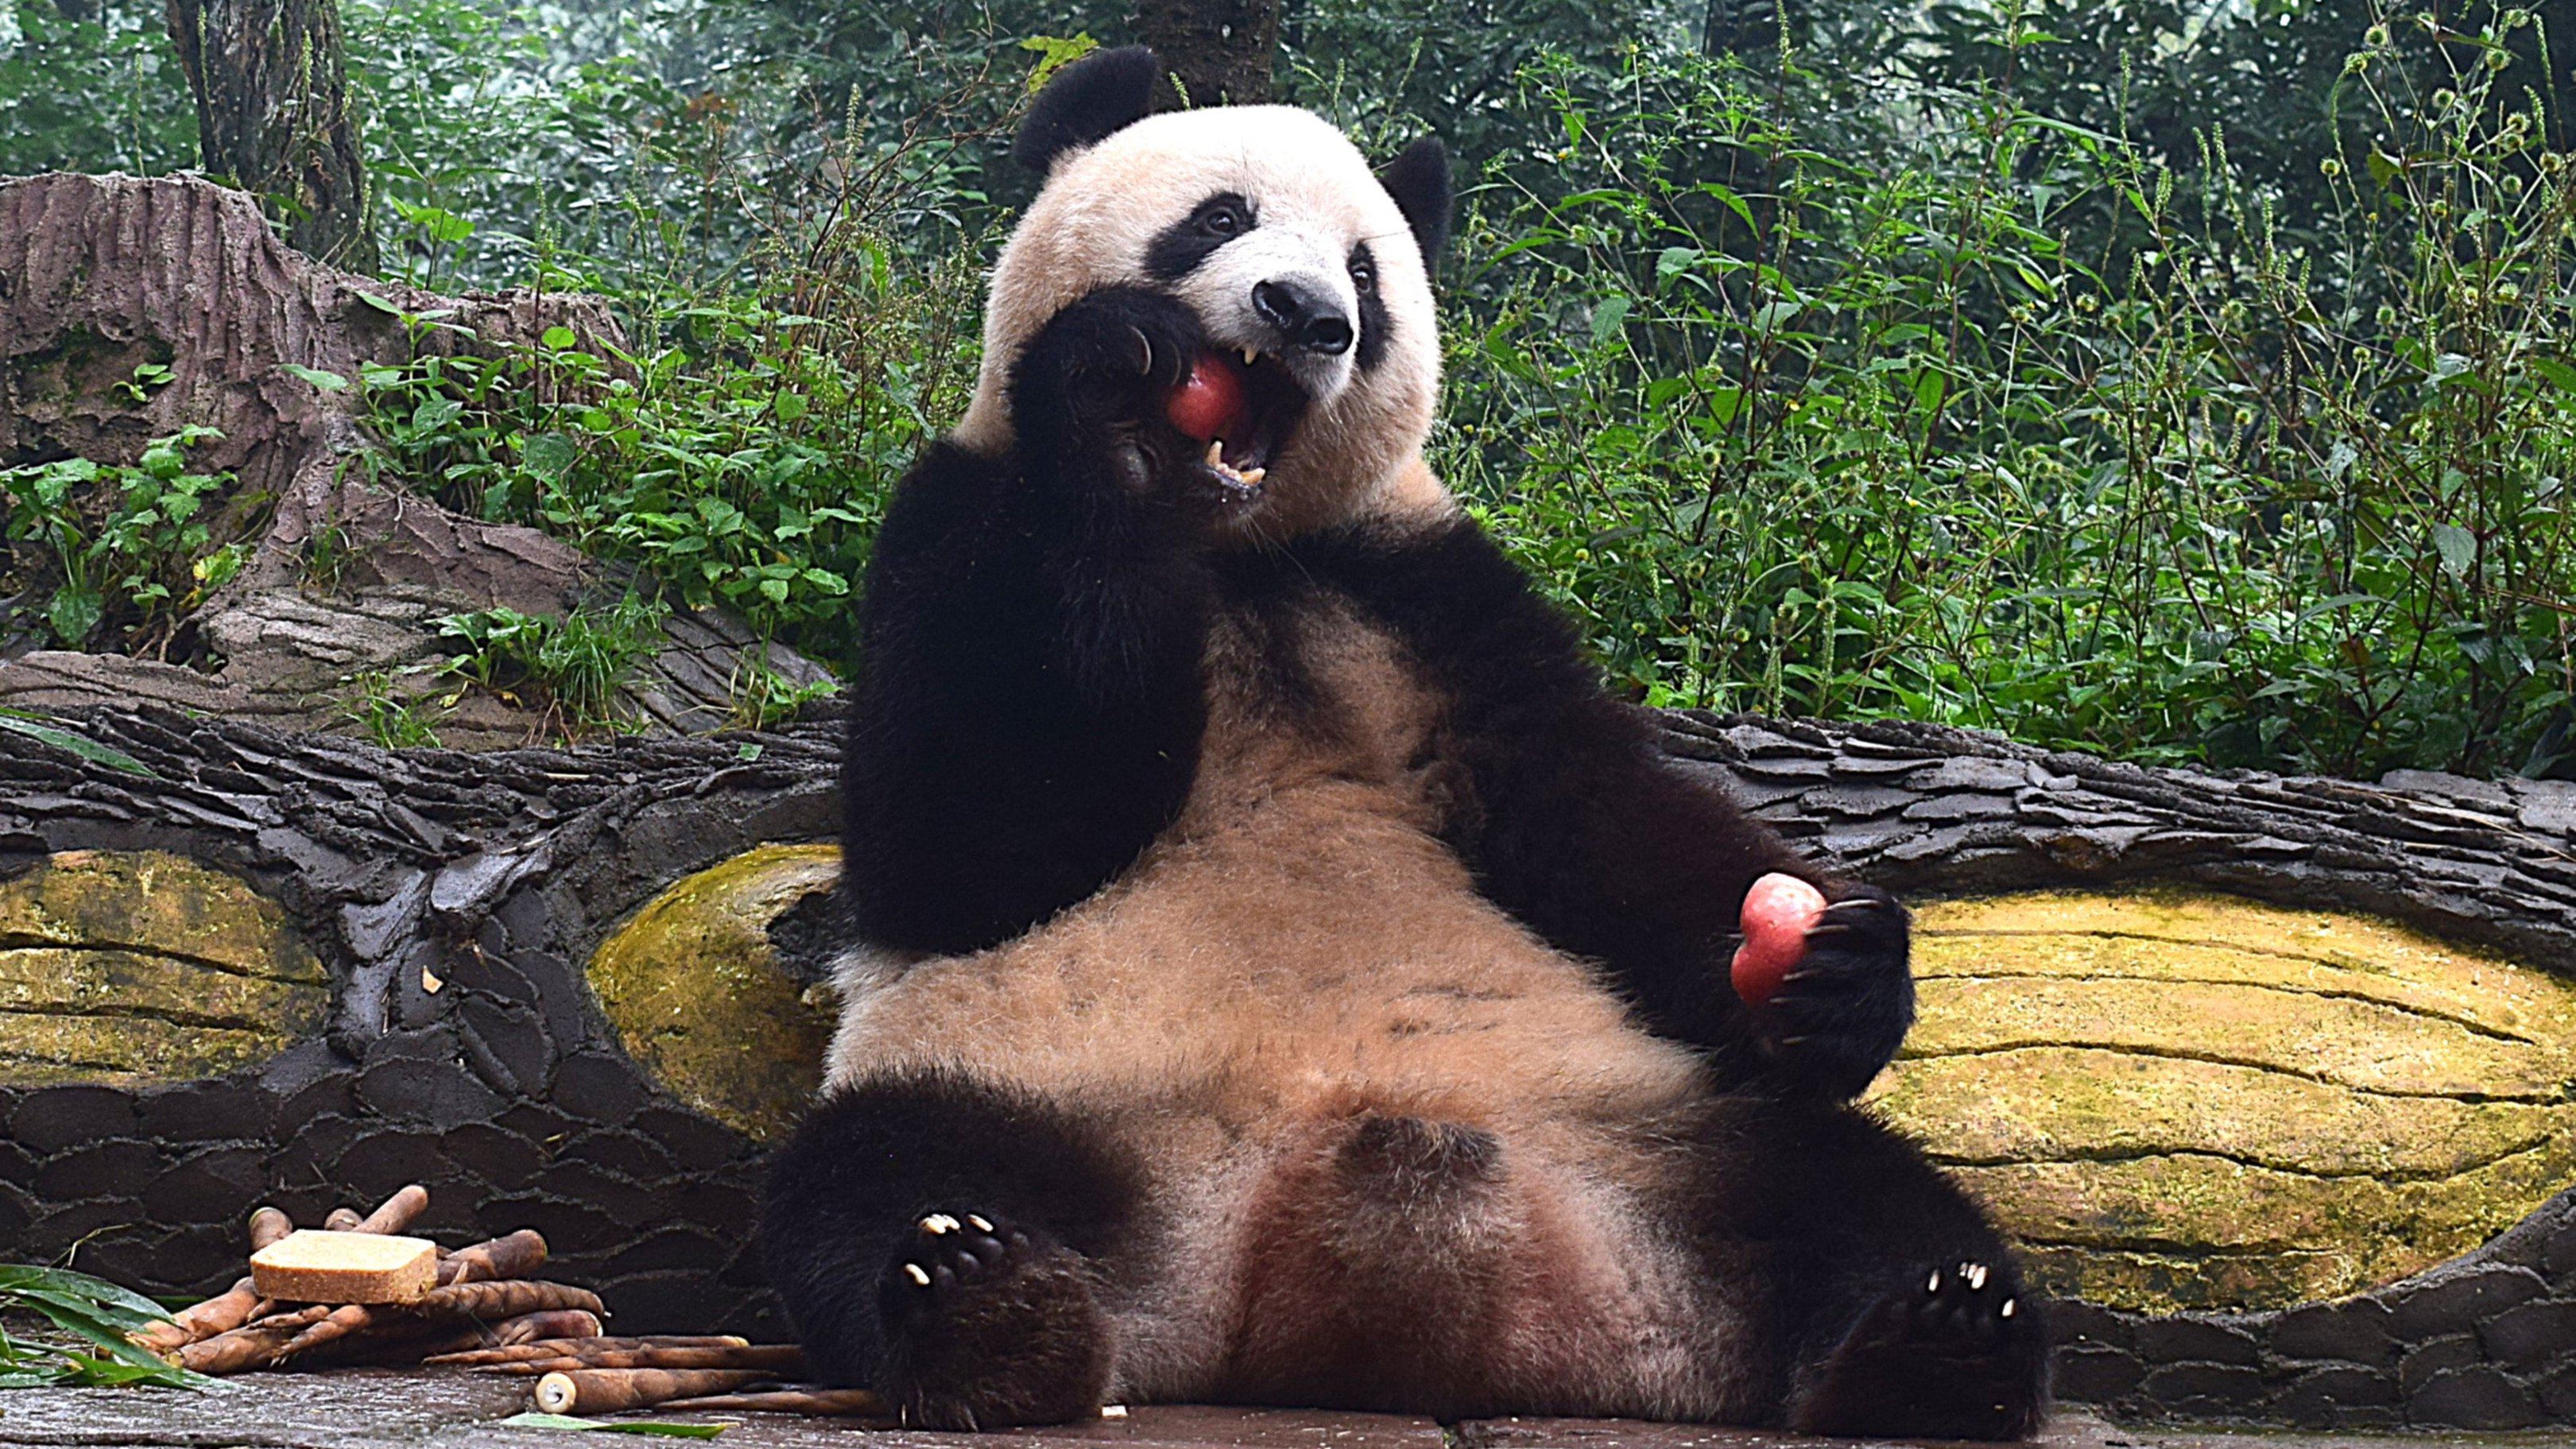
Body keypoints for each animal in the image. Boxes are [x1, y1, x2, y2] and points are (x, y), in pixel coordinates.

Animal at [757, 45, 2052, 1440]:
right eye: (1218, 216)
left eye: (1366, 275)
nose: (1302, 312)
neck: (1232, 548)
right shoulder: (954, 515)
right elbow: (964, 846)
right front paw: (1110, 380)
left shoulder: (1420, 584)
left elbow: (1588, 811)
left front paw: (1839, 970)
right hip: (1028, 1080)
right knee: (873, 1175)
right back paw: (987, 1304)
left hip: (1655, 1123)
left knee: (1853, 1194)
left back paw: (1936, 1340)